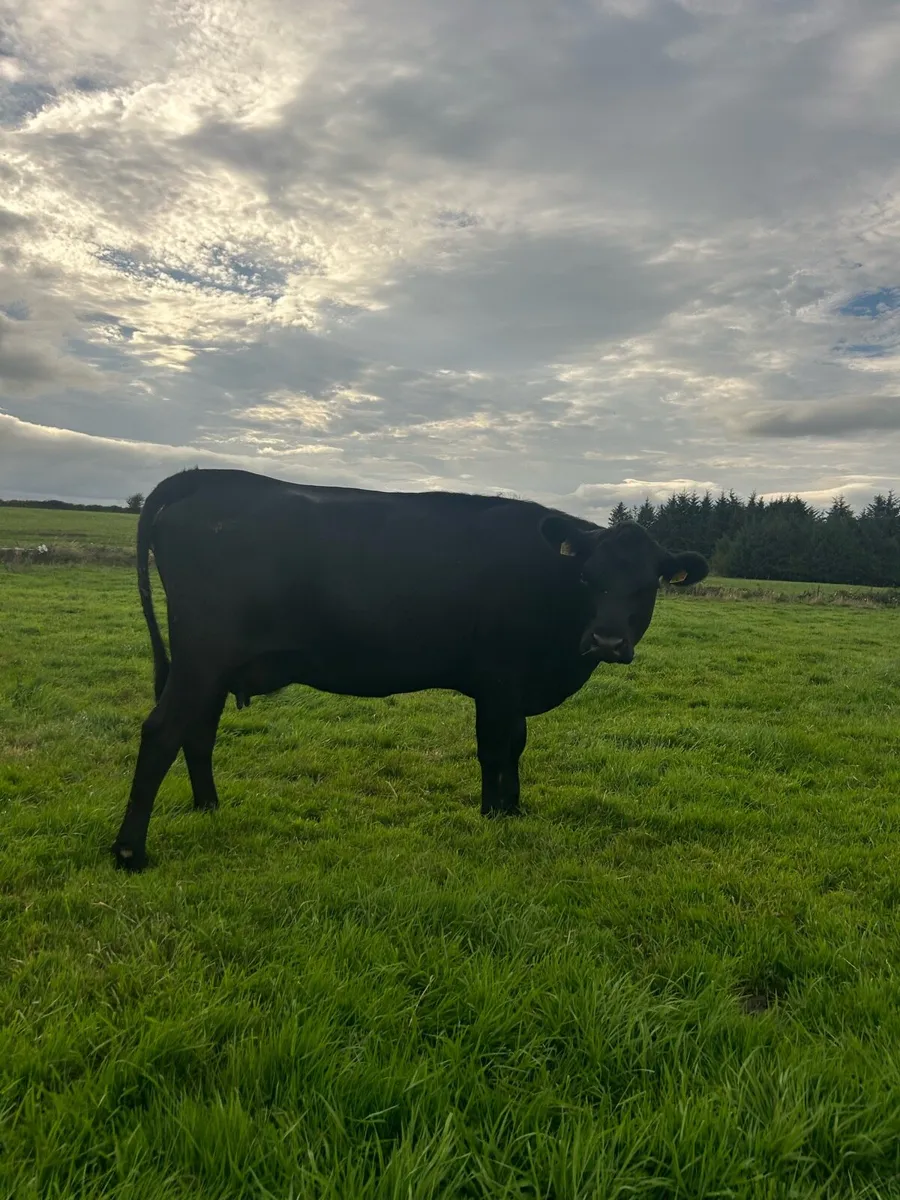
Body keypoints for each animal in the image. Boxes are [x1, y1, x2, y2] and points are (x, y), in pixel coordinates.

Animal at [112, 468, 708, 870]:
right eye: (589, 577)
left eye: (647, 585)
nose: (607, 640)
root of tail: (207, 479)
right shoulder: (498, 682)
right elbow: (498, 747)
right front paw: (496, 814)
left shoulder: (509, 686)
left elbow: (512, 747)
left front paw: (509, 811)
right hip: (203, 656)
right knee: (162, 732)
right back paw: (129, 852)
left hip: (213, 667)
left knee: (198, 732)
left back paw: (209, 808)